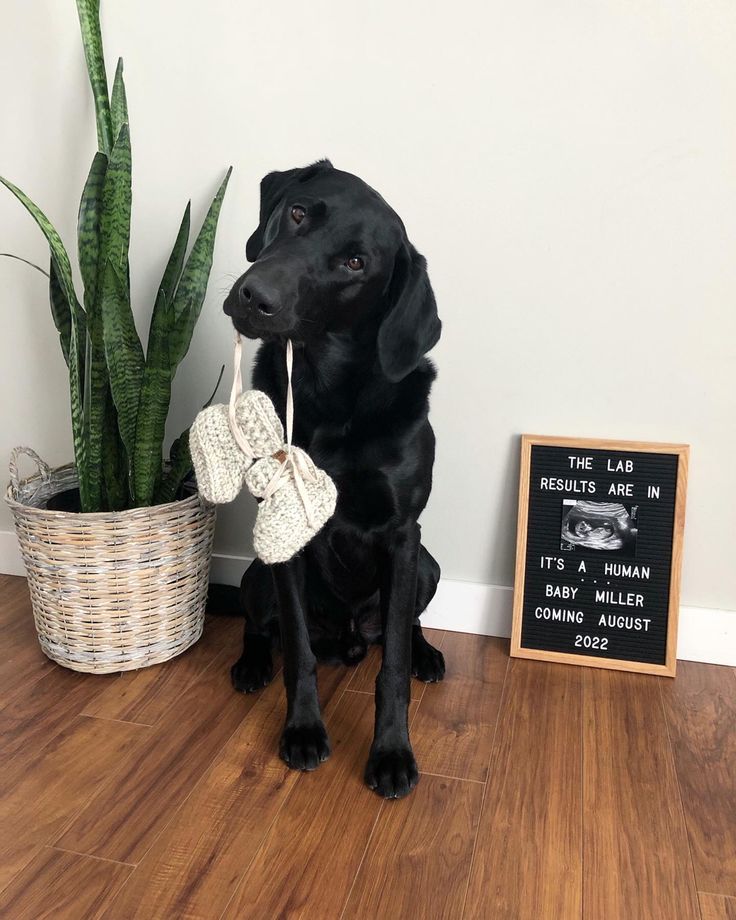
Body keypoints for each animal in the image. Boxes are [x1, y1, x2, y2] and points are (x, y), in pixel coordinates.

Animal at [223, 158, 442, 796]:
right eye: (298, 213)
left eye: (356, 263)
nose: (255, 296)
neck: (328, 396)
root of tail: (346, 639)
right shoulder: (285, 533)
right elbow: (297, 650)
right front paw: (302, 731)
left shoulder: (402, 535)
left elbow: (392, 666)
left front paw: (391, 753)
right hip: (255, 573)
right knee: (262, 627)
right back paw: (251, 664)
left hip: (426, 566)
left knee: (406, 626)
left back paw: (426, 655)